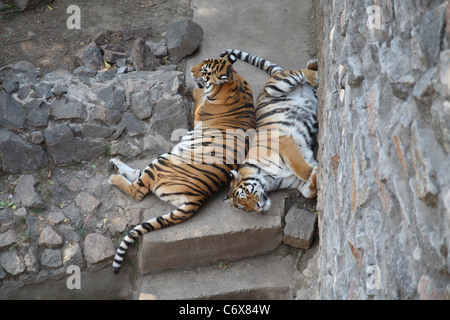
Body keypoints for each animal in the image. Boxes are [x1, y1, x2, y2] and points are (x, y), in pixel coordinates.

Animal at [107, 53, 255, 276]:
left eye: (204, 70)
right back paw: (115, 162)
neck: (234, 83)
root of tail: (199, 198)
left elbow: (198, 94)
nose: (191, 71)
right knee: (136, 176)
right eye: (202, 64)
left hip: (162, 162)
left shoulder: (199, 112)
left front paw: (192, 88)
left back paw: (113, 176)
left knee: (137, 190)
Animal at [220, 49, 318, 212]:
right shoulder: (296, 181)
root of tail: (274, 75)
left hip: (277, 85)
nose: (257, 207)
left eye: (245, 193)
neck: (269, 179)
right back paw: (314, 66)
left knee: (301, 73)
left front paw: (317, 172)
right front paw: (316, 175)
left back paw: (314, 71)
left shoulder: (284, 143)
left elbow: (303, 169)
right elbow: (308, 190)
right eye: (243, 207)